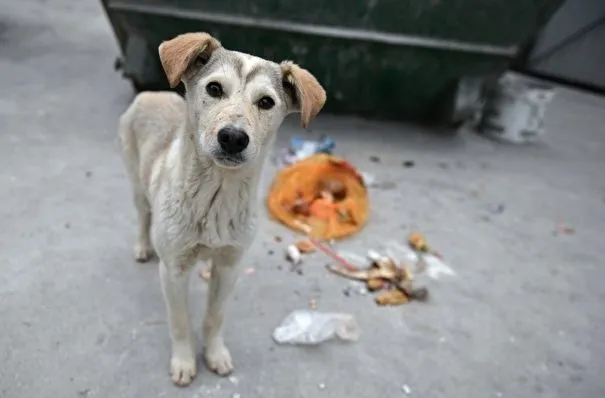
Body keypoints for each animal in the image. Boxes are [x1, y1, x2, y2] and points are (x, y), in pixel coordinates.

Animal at [118, 32, 326, 388]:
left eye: (266, 102)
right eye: (214, 88)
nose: (232, 137)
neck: (215, 196)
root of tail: (150, 92)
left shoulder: (230, 266)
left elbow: (214, 317)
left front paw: (215, 354)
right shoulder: (173, 270)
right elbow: (180, 322)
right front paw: (184, 361)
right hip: (136, 186)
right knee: (143, 216)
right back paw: (144, 246)